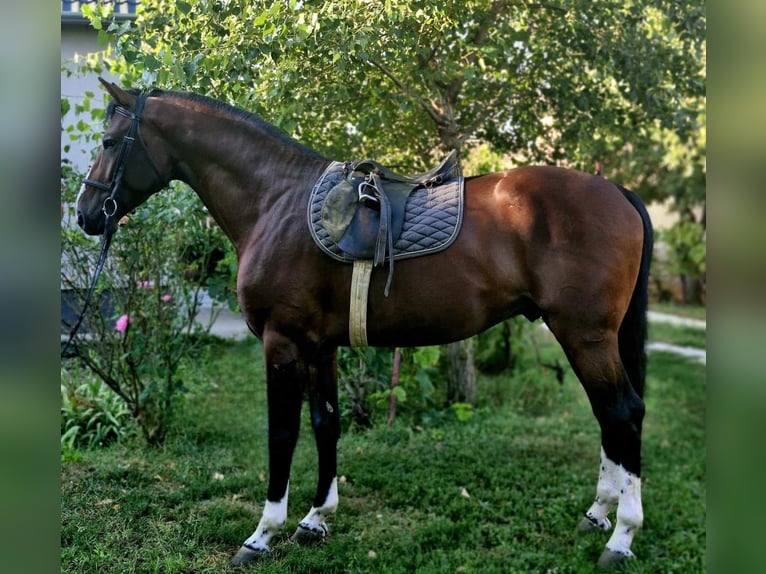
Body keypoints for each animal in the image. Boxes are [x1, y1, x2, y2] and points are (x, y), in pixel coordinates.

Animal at [76, 79, 656, 568]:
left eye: (109, 141)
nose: (86, 214)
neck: (275, 201)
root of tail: (618, 192)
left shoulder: (282, 343)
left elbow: (282, 433)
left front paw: (262, 534)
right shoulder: (319, 345)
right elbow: (325, 423)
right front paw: (315, 519)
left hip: (584, 336)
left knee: (623, 413)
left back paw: (621, 537)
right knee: (609, 417)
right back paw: (597, 514)